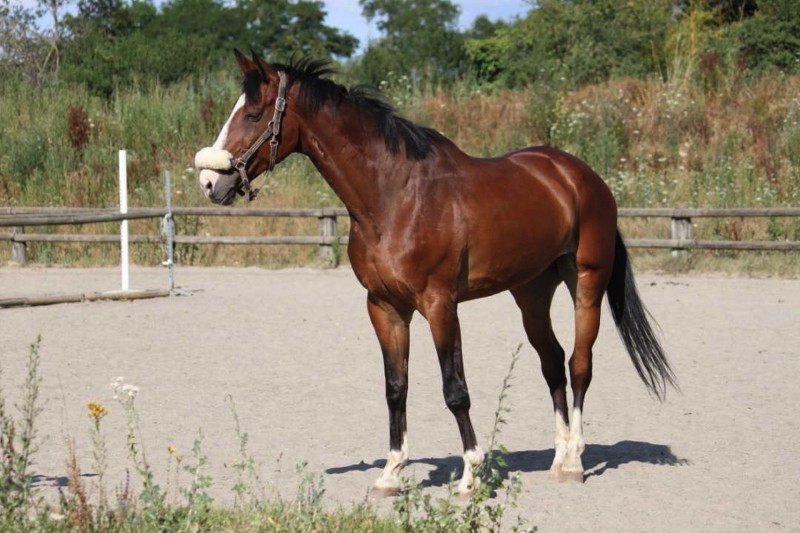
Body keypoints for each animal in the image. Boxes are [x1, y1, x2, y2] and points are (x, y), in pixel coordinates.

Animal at [195, 52, 676, 496]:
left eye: (253, 114)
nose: (209, 183)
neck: (394, 197)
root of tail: (581, 176)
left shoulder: (440, 305)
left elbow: (454, 389)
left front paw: (470, 476)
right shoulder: (384, 307)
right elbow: (396, 386)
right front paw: (391, 474)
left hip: (587, 283)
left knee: (579, 364)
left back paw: (575, 461)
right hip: (531, 293)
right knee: (553, 362)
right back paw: (557, 459)